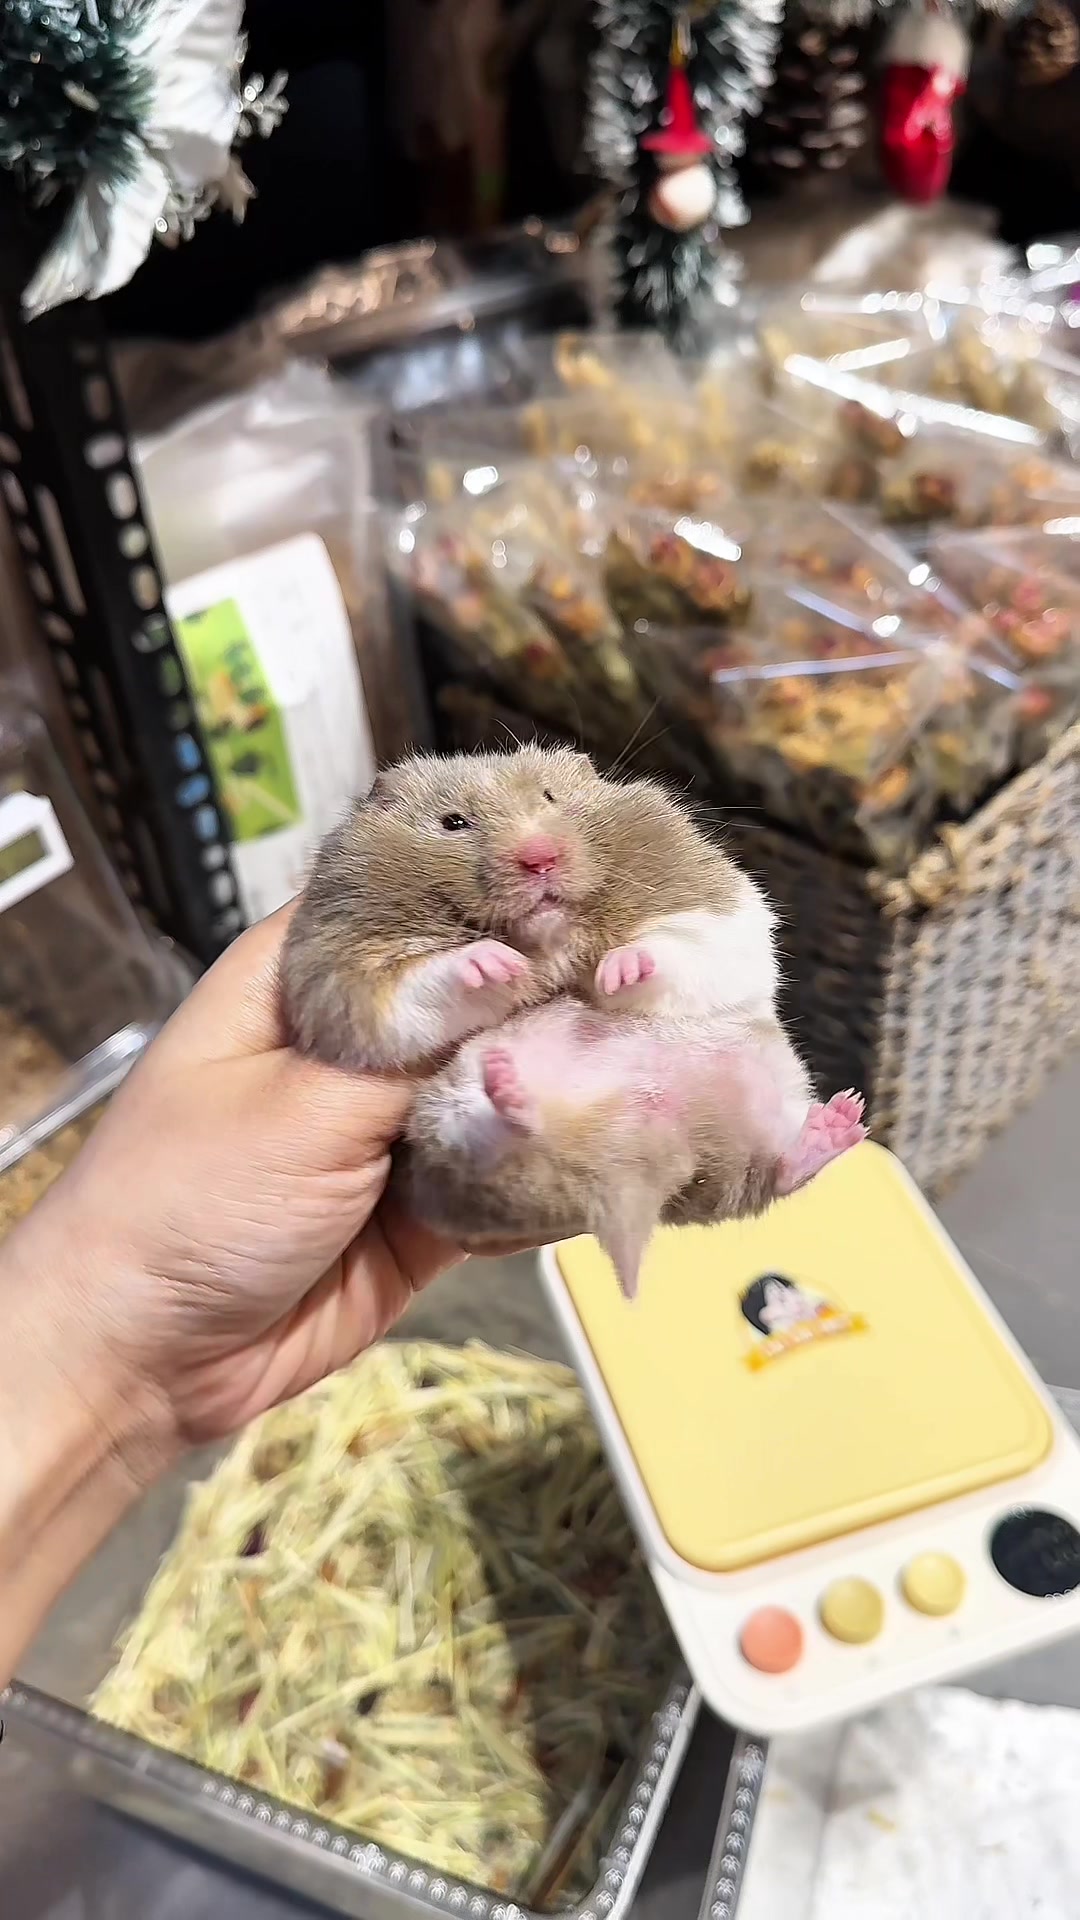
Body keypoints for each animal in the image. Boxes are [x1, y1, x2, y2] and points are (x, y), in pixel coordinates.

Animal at [282, 745, 866, 1298]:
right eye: (454, 822)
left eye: (551, 798)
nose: (539, 857)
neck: (553, 940)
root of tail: (632, 1166)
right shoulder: (337, 974)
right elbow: (416, 985)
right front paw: (494, 963)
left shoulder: (719, 910)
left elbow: (678, 945)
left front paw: (617, 969)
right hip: (447, 1126)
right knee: (508, 1143)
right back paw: (511, 1089)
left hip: (770, 1082)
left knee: (774, 1172)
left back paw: (843, 1119)